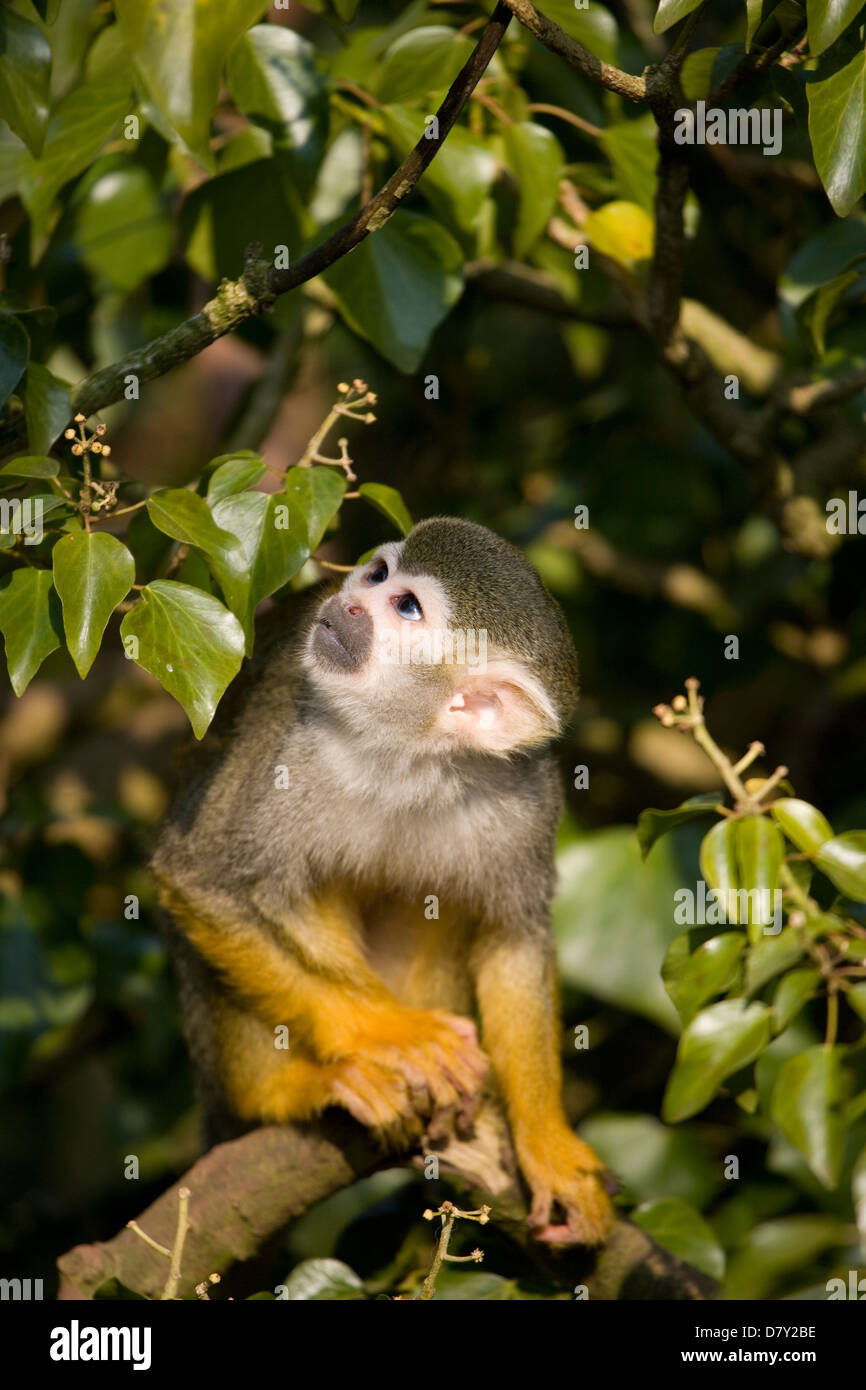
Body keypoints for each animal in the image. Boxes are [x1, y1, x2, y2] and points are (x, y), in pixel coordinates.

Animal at [152, 516, 616, 1245]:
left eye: (406, 608)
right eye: (376, 574)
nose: (346, 604)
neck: (410, 750)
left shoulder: (526, 793)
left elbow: (512, 936)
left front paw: (548, 1142)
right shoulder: (285, 734)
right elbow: (202, 878)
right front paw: (391, 1035)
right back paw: (294, 1090)